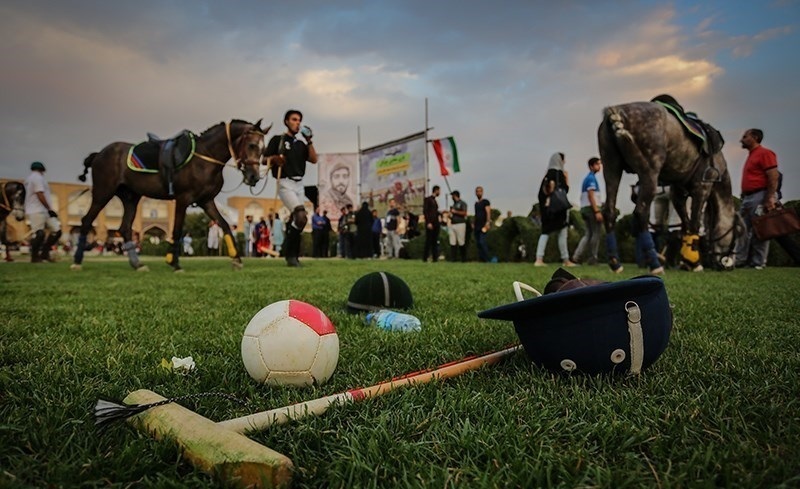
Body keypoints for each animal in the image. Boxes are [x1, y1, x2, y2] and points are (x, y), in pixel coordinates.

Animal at [70, 118, 268, 270]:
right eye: (251, 145)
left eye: (263, 149)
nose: (254, 176)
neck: (204, 158)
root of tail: (98, 154)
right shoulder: (183, 198)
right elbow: (177, 229)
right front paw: (173, 262)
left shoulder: (206, 200)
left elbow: (225, 225)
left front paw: (237, 259)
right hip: (104, 191)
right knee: (87, 220)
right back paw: (77, 261)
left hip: (130, 196)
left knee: (125, 228)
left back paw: (137, 264)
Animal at [596, 101, 740, 272]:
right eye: (738, 234)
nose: (730, 265)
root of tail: (617, 112)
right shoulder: (703, 187)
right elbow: (694, 223)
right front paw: (694, 261)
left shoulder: (677, 192)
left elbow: (685, 224)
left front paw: (687, 260)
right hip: (649, 173)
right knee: (641, 212)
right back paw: (655, 263)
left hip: (611, 168)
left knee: (609, 211)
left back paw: (615, 262)